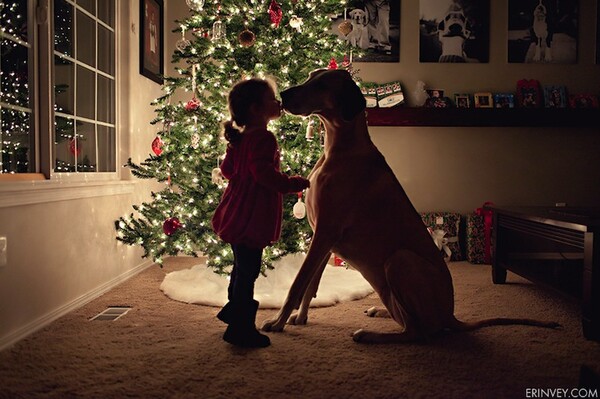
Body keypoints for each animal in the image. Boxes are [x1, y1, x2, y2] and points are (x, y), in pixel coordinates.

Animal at [260, 69, 560, 344]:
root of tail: (450, 315)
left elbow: (298, 284)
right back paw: (379, 313)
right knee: (409, 321)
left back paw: (370, 335)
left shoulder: (325, 233)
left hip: (400, 260)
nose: (283, 94)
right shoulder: (323, 238)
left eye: (321, 84)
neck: (340, 149)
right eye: (310, 77)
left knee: (419, 332)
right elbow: (311, 284)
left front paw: (277, 322)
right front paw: (299, 318)